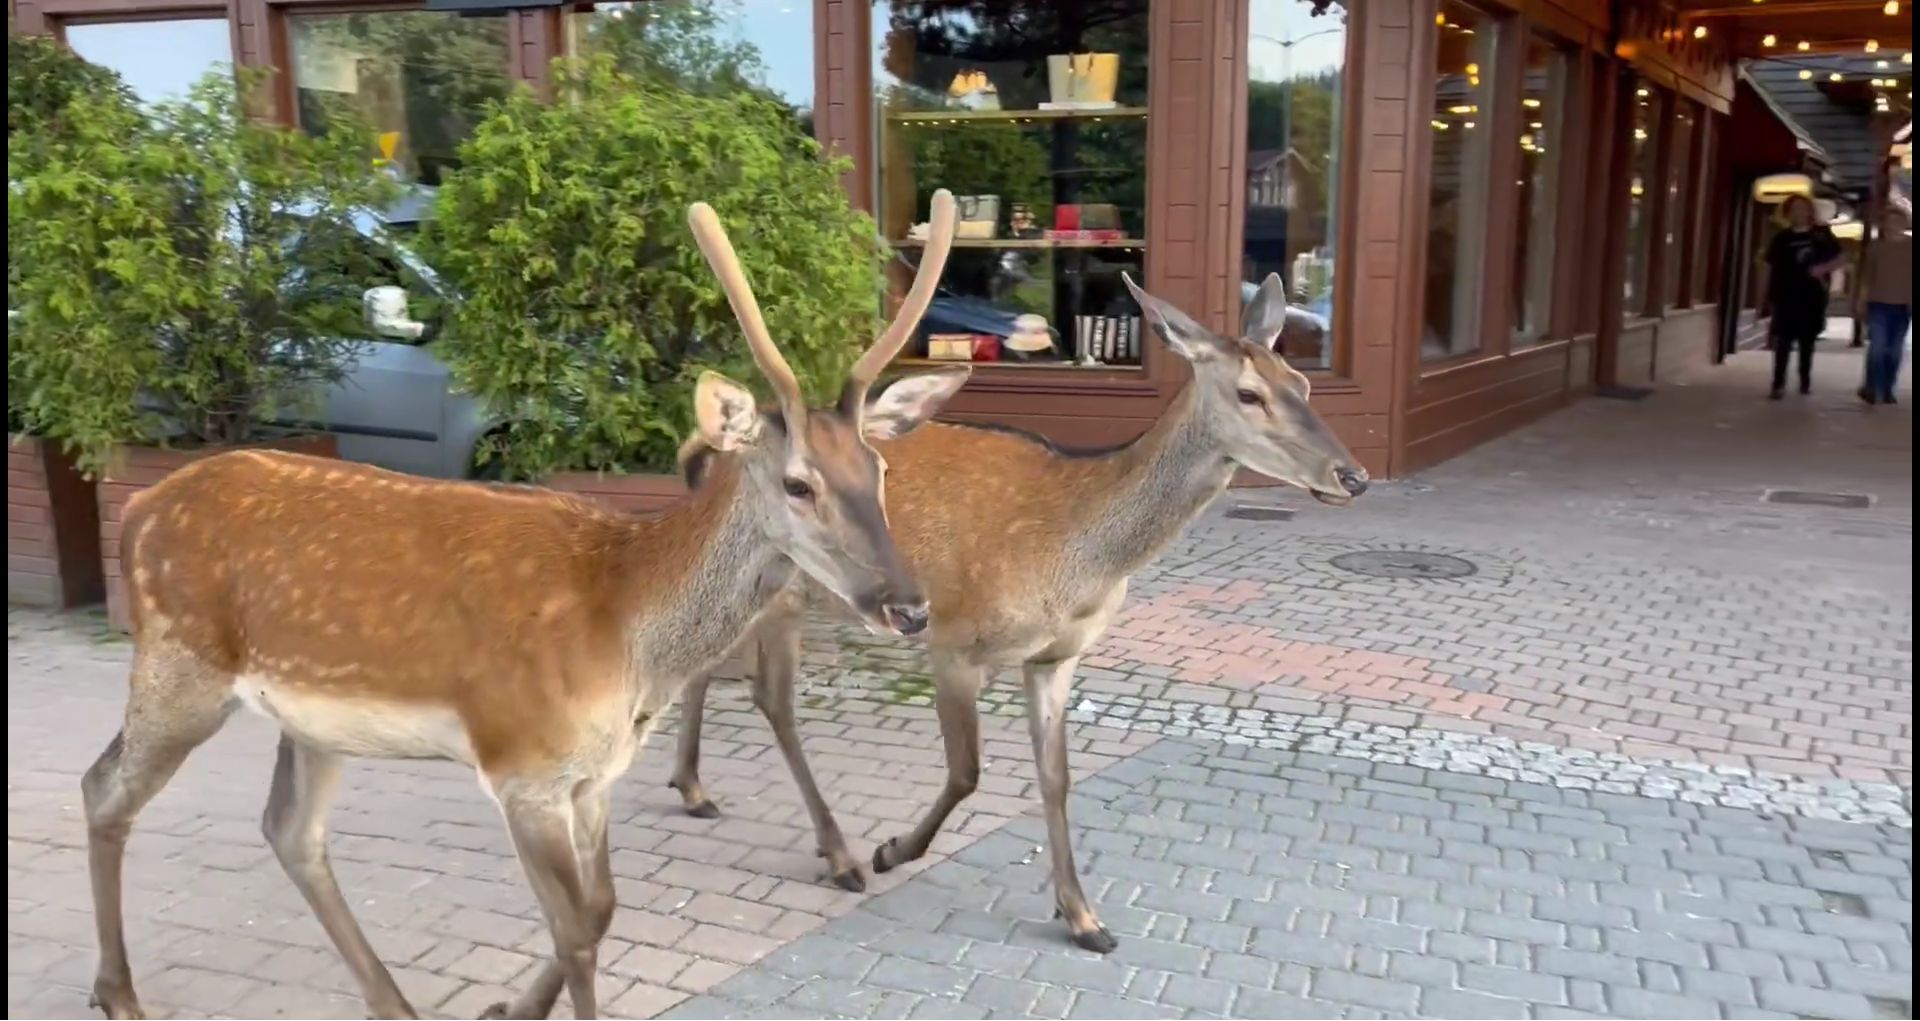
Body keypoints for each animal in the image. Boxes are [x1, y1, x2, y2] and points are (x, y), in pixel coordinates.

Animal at [82, 193, 967, 1021]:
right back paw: (118, 992)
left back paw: (393, 1002)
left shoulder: (593, 775)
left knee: (290, 830)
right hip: (179, 665)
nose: (908, 605)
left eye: (879, 470)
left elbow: (601, 908)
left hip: (310, 718)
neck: (627, 630)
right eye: (797, 483)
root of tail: (139, 510)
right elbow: (575, 928)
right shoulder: (522, 765)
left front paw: (508, 1004)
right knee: (103, 788)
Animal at [668, 268, 1374, 948]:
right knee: (771, 698)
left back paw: (695, 789)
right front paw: (892, 851)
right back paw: (838, 854)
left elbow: (1056, 777)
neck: (1078, 558)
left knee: (708, 662)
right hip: (787, 591)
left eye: (1303, 381)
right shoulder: (952, 639)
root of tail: (721, 450)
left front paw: (1084, 918)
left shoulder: (1056, 658)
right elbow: (966, 772)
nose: (1354, 476)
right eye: (1249, 394)